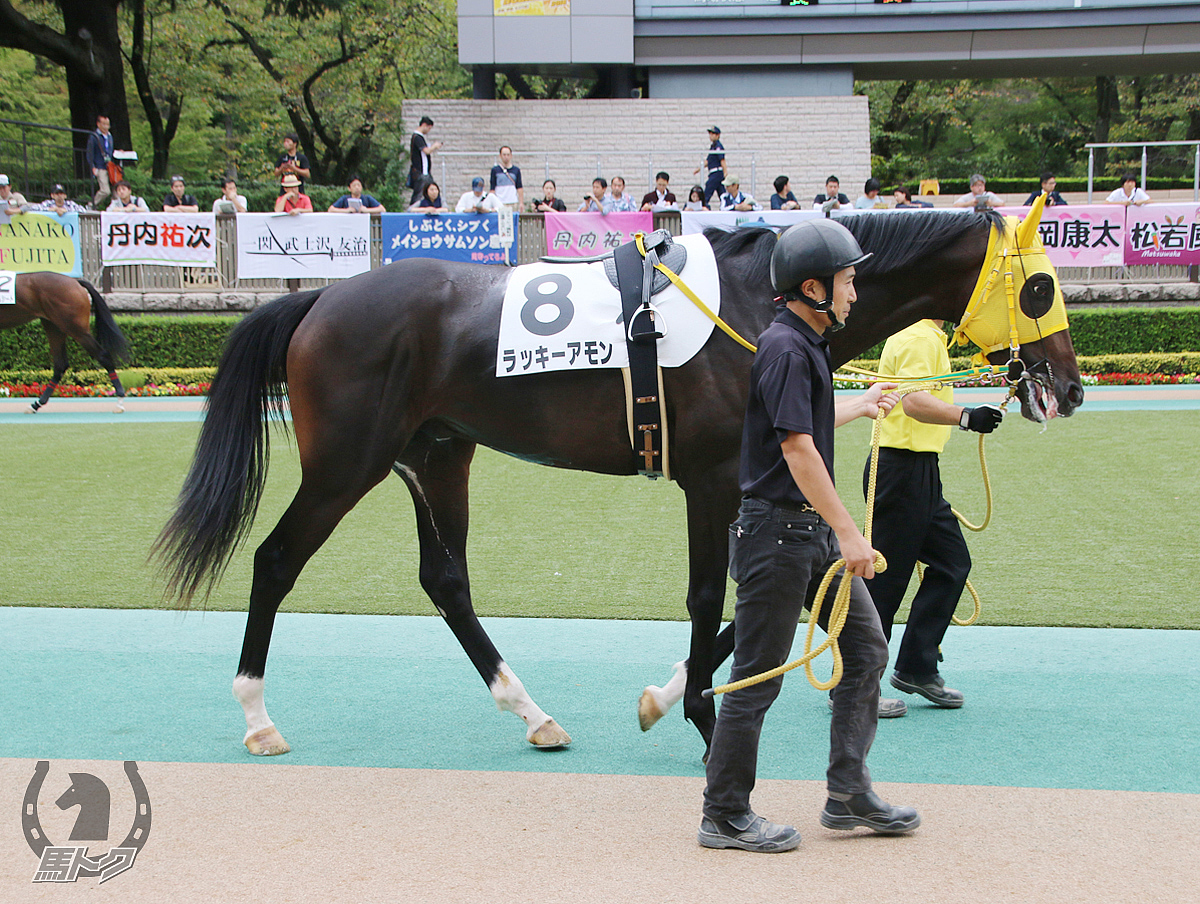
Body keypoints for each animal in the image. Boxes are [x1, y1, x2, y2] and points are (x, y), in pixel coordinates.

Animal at [0, 267, 129, 408]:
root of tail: (75, 282)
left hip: (75, 328)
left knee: (102, 355)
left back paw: (120, 399)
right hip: (53, 326)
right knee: (60, 365)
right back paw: (37, 404)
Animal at [154, 207, 1084, 758]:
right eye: (1041, 286)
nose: (1069, 389)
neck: (755, 303)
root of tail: (318, 300)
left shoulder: (763, 477)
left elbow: (780, 595)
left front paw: (668, 696)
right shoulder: (714, 478)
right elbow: (712, 597)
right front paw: (702, 715)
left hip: (438, 455)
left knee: (445, 578)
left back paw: (531, 712)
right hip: (348, 463)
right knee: (276, 560)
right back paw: (257, 716)